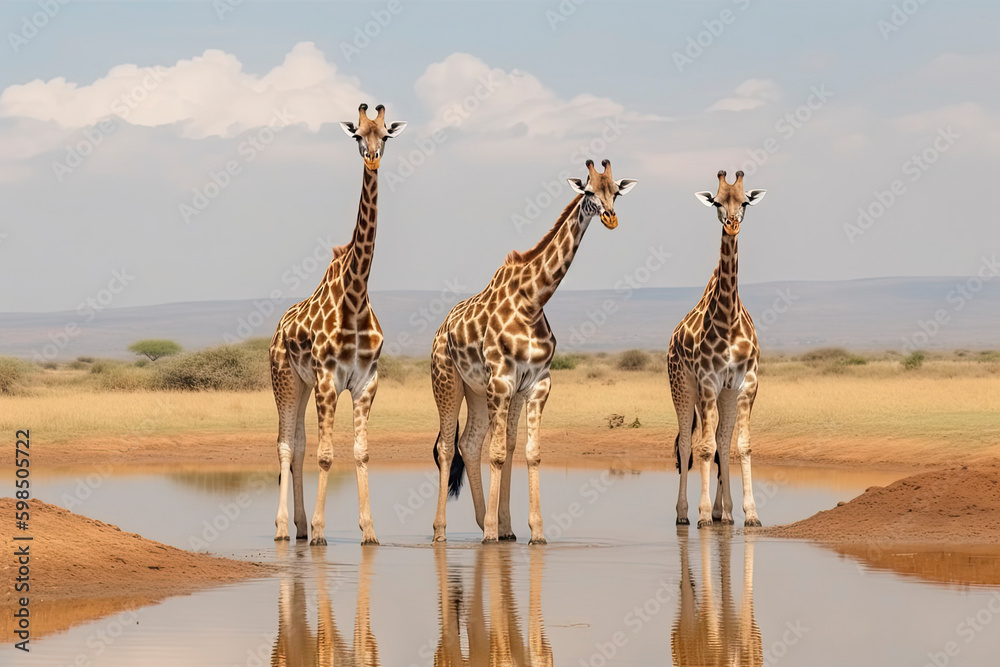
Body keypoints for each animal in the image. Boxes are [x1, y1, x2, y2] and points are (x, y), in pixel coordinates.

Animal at [270, 103, 406, 545]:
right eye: (357, 135)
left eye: (386, 134)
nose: (373, 157)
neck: (356, 295)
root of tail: (278, 330)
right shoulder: (329, 379)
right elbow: (326, 455)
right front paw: (318, 532)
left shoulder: (366, 381)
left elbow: (360, 452)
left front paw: (369, 532)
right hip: (285, 379)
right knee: (285, 444)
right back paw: (284, 528)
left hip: (303, 383)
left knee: (297, 443)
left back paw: (296, 526)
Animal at [429, 160, 637, 543]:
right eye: (589, 191)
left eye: (615, 190)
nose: (611, 218)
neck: (532, 301)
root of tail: (441, 329)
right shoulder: (501, 381)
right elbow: (498, 453)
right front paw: (492, 533)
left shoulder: (536, 383)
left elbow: (526, 451)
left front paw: (530, 531)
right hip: (447, 381)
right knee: (448, 446)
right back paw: (442, 531)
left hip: (476, 390)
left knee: (470, 443)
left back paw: (489, 522)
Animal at [668, 170, 766, 529]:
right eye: (717, 202)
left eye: (745, 201)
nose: (732, 224)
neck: (728, 318)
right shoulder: (708, 382)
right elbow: (705, 448)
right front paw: (701, 515)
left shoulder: (746, 383)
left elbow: (741, 444)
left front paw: (750, 514)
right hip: (683, 387)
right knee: (687, 443)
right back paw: (685, 513)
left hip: (724, 393)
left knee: (723, 441)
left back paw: (724, 511)